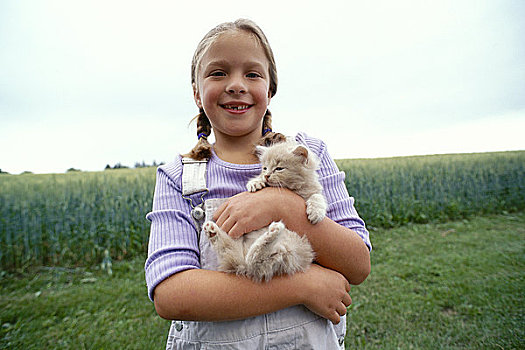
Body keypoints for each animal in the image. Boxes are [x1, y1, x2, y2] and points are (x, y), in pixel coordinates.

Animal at [203, 139, 326, 282]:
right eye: (265, 168)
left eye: (279, 168)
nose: (267, 175)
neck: (292, 188)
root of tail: (243, 268)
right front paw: (256, 182)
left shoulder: (313, 190)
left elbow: (317, 197)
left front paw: (316, 213)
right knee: (243, 256)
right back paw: (212, 230)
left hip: (287, 252)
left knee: (253, 260)